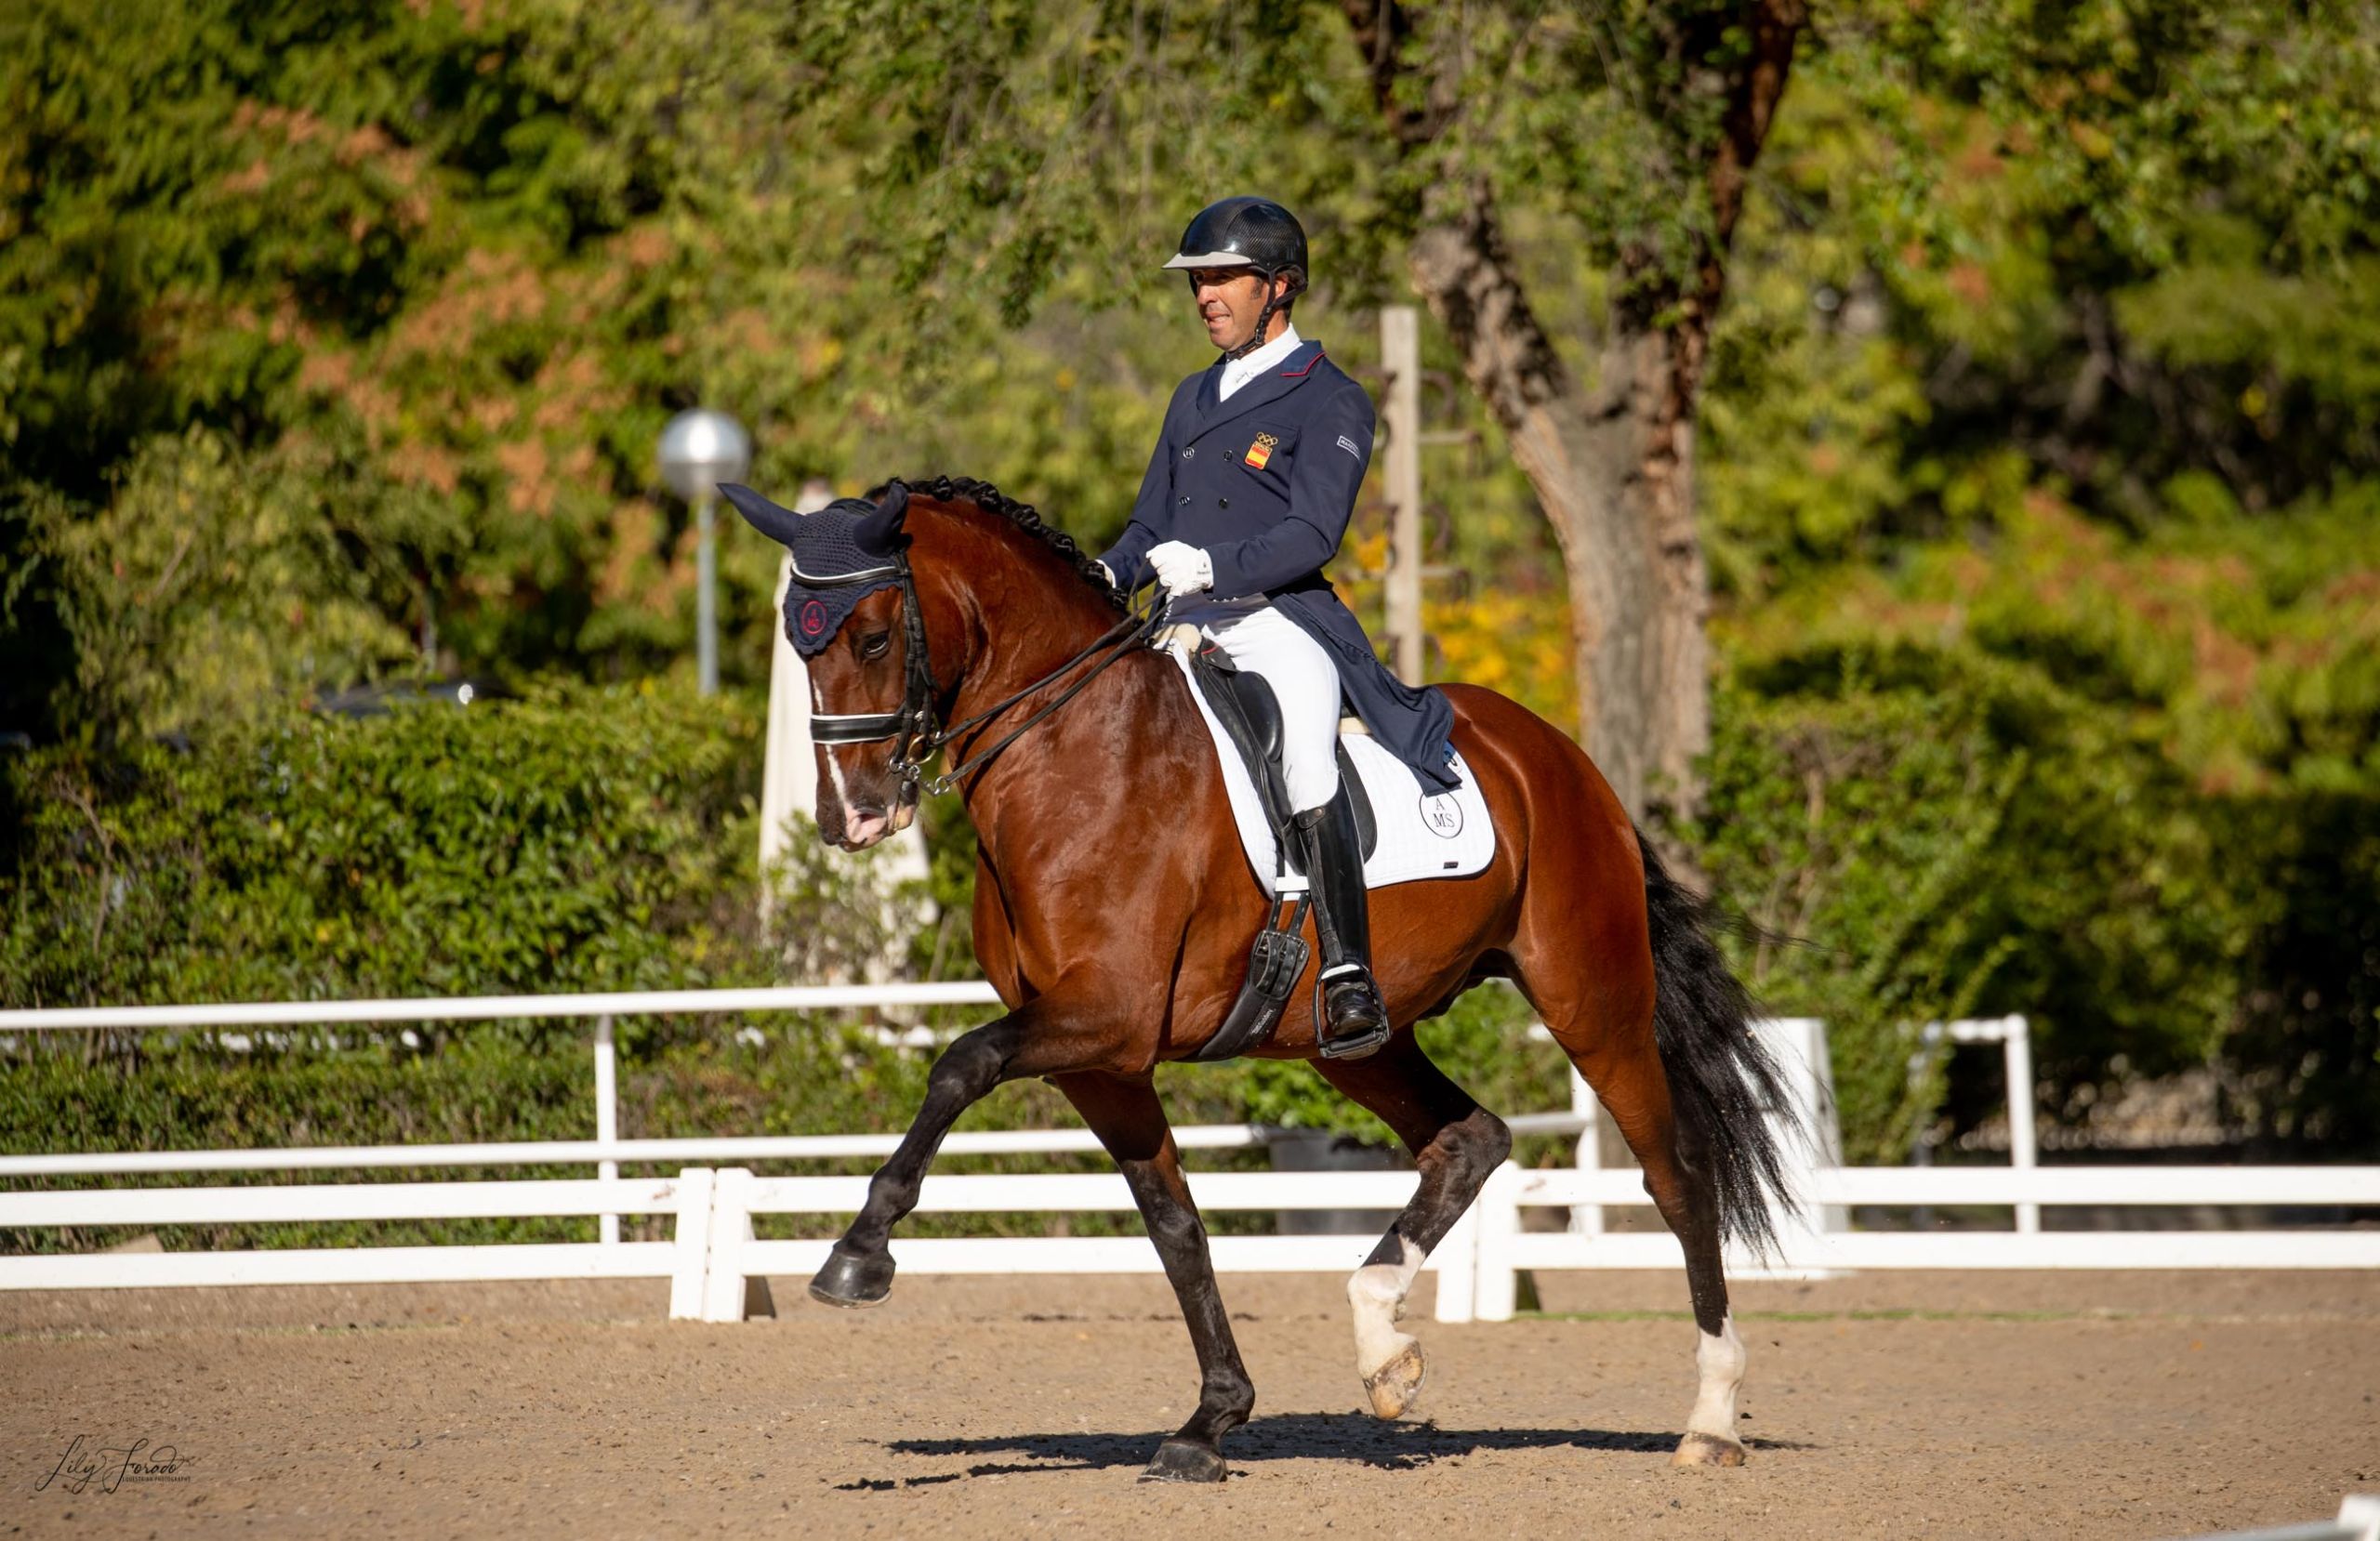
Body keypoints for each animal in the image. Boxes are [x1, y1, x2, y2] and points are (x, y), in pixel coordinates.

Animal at [733, 473, 1790, 1483]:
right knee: (1468, 1138)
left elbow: (959, 1062)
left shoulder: (1106, 1016)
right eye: (798, 644)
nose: (852, 816)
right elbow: (1175, 1224)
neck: (1076, 753)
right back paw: (1383, 1348)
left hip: (1592, 1002)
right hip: (1352, 1038)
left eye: (872, 635)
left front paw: (856, 1256)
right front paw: (1211, 1421)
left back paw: (1710, 1419)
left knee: (1677, 1175)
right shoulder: (1101, 1059)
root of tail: (1565, 760)